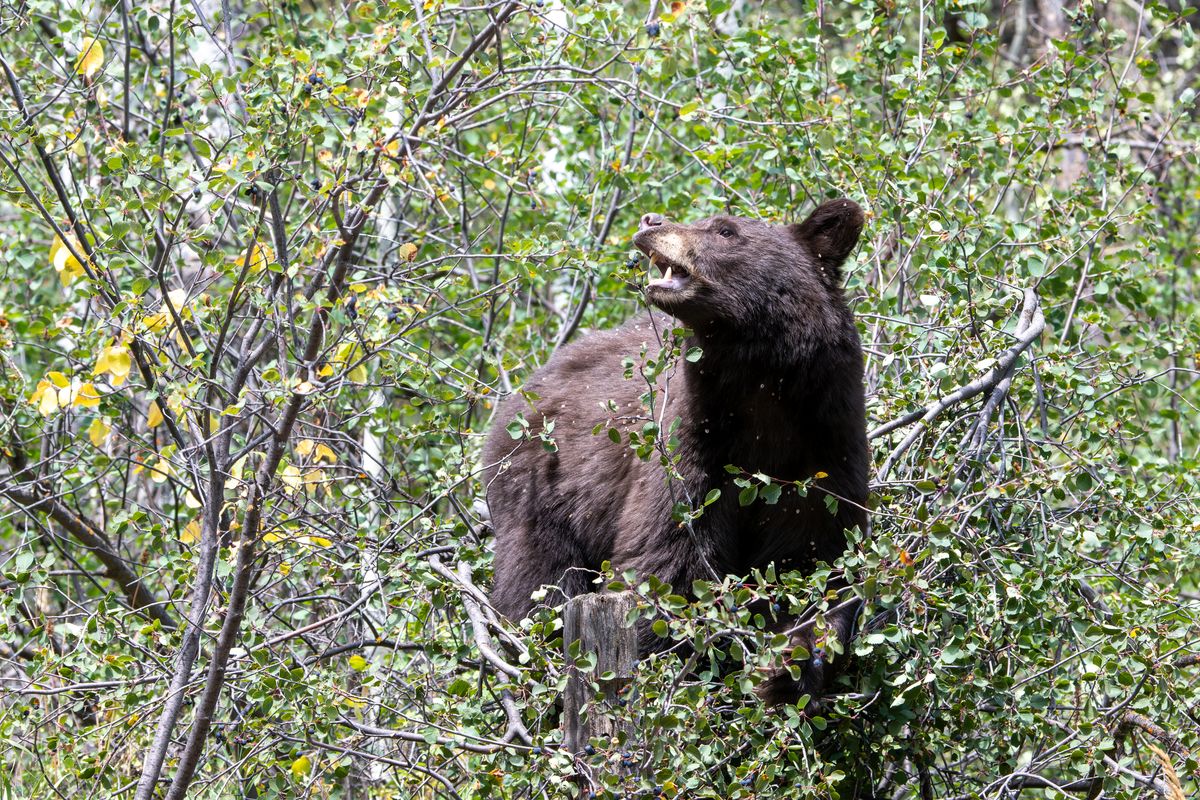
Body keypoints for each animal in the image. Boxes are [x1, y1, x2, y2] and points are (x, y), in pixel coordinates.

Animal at [483, 199, 869, 705]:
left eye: (725, 230)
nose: (651, 221)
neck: (764, 398)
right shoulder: (692, 454)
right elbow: (668, 562)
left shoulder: (823, 455)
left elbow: (816, 566)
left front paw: (788, 665)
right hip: (538, 487)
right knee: (538, 584)